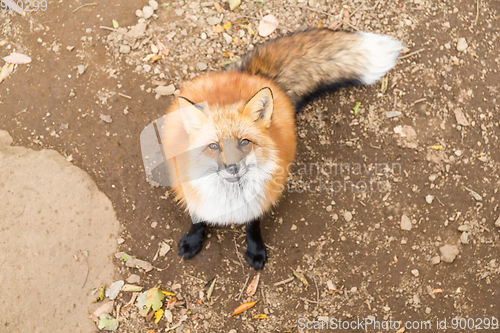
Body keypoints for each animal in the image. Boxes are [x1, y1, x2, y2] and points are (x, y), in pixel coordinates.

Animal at [161, 29, 402, 270]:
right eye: (213, 146)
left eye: (244, 142)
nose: (232, 167)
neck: (231, 197)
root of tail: (252, 75)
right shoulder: (192, 193)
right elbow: (197, 220)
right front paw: (192, 241)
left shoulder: (260, 198)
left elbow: (253, 226)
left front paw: (255, 250)